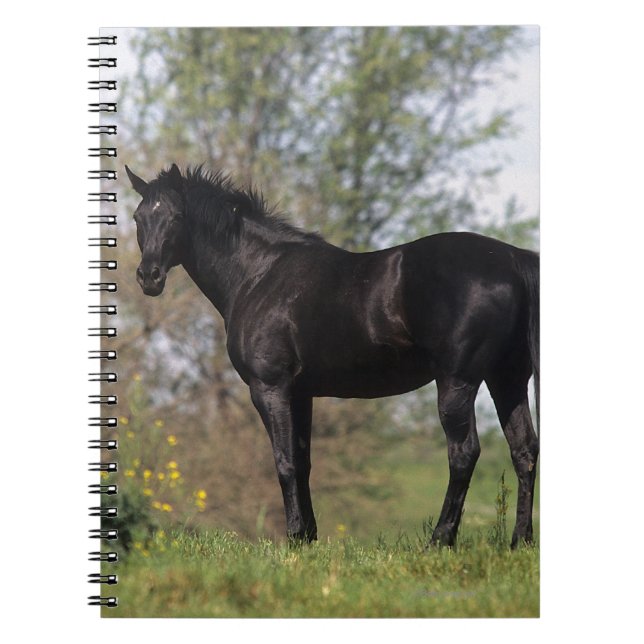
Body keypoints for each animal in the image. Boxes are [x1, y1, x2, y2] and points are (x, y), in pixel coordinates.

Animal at [125, 163, 539, 548]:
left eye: (176, 216)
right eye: (138, 217)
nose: (149, 277)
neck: (258, 274)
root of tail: (512, 258)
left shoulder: (270, 388)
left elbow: (284, 461)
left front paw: (294, 537)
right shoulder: (301, 393)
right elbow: (303, 461)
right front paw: (308, 537)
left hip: (458, 382)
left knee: (464, 453)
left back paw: (440, 540)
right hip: (507, 378)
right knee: (525, 450)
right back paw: (519, 540)